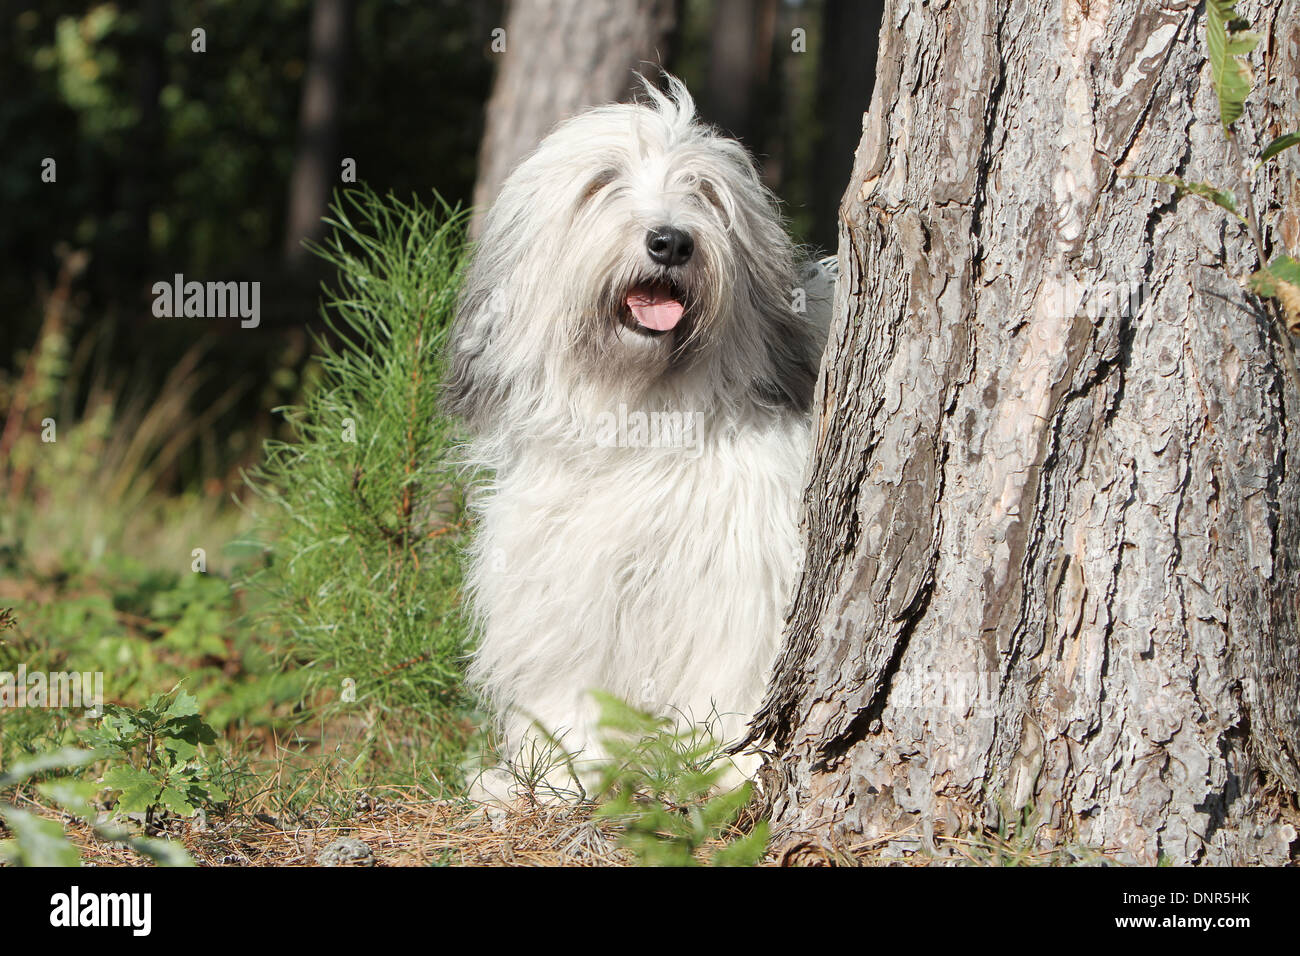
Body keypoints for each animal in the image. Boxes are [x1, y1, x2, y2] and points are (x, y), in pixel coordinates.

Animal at [447, 74, 832, 801]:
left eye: (704, 192)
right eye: (603, 183)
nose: (672, 242)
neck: (639, 416)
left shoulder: (740, 568)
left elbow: (732, 664)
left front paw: (729, 764)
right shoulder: (567, 568)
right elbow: (572, 676)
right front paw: (555, 770)